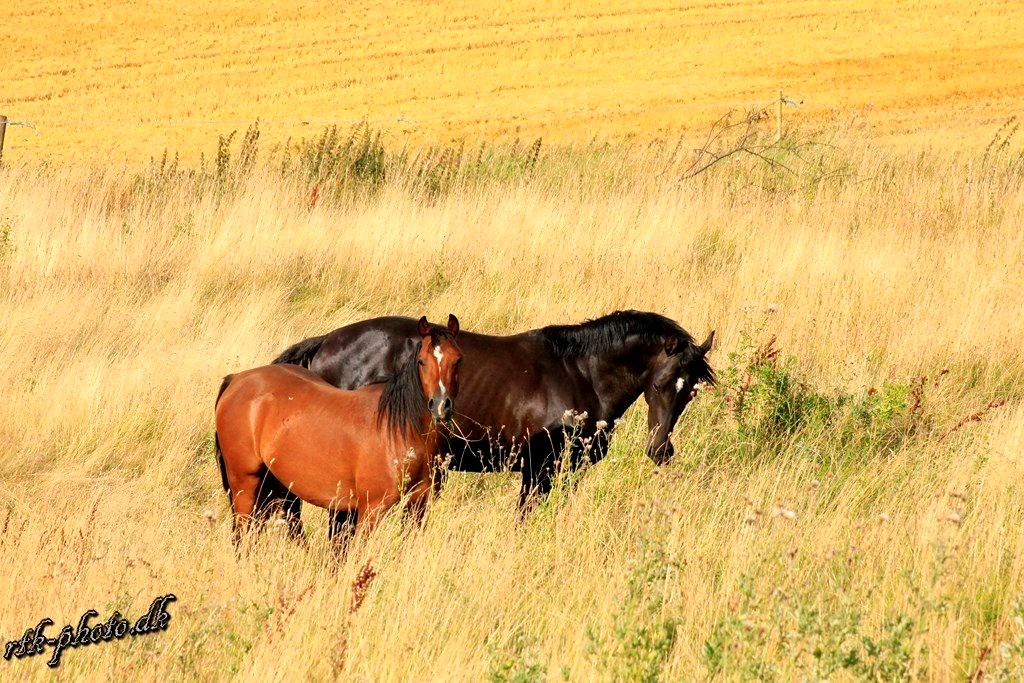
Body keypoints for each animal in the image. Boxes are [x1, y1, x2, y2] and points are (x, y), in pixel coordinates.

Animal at [214, 315, 462, 545]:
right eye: (421, 361)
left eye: (458, 360)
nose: (440, 405)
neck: (398, 429)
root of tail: (237, 379)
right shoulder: (372, 508)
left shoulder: (419, 501)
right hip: (245, 484)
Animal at [272, 310, 714, 533]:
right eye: (661, 384)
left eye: (691, 390)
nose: (661, 450)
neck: (579, 373)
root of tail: (326, 343)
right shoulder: (539, 470)